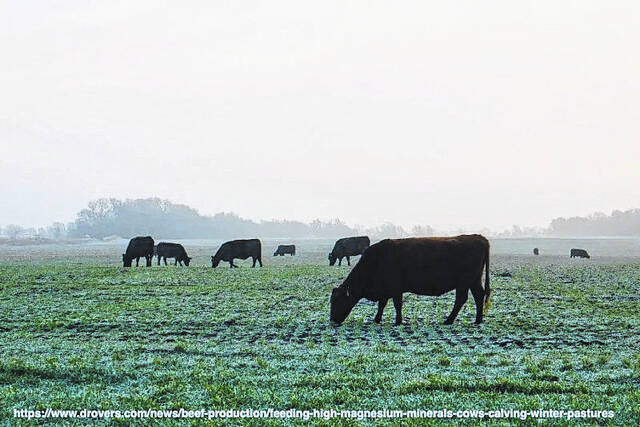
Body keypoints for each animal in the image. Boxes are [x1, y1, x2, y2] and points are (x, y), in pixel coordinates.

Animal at [330, 235, 491, 326]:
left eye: (338, 300)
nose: (332, 320)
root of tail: (479, 238)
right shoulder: (386, 290)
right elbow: (382, 305)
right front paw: (377, 319)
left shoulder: (395, 289)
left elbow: (396, 304)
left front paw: (398, 321)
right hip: (474, 281)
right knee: (478, 296)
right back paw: (478, 320)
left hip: (464, 283)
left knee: (461, 299)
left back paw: (448, 320)